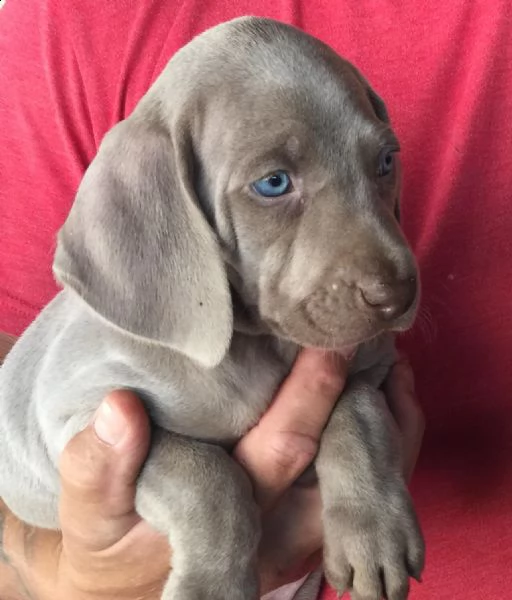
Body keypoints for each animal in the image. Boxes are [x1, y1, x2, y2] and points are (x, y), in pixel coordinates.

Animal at [0, 16, 424, 600]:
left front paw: (373, 531)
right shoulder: (80, 417)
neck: (255, 347)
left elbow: (358, 414)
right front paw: (211, 585)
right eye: (273, 183)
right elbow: (209, 478)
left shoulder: (369, 365)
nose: (397, 296)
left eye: (385, 162)